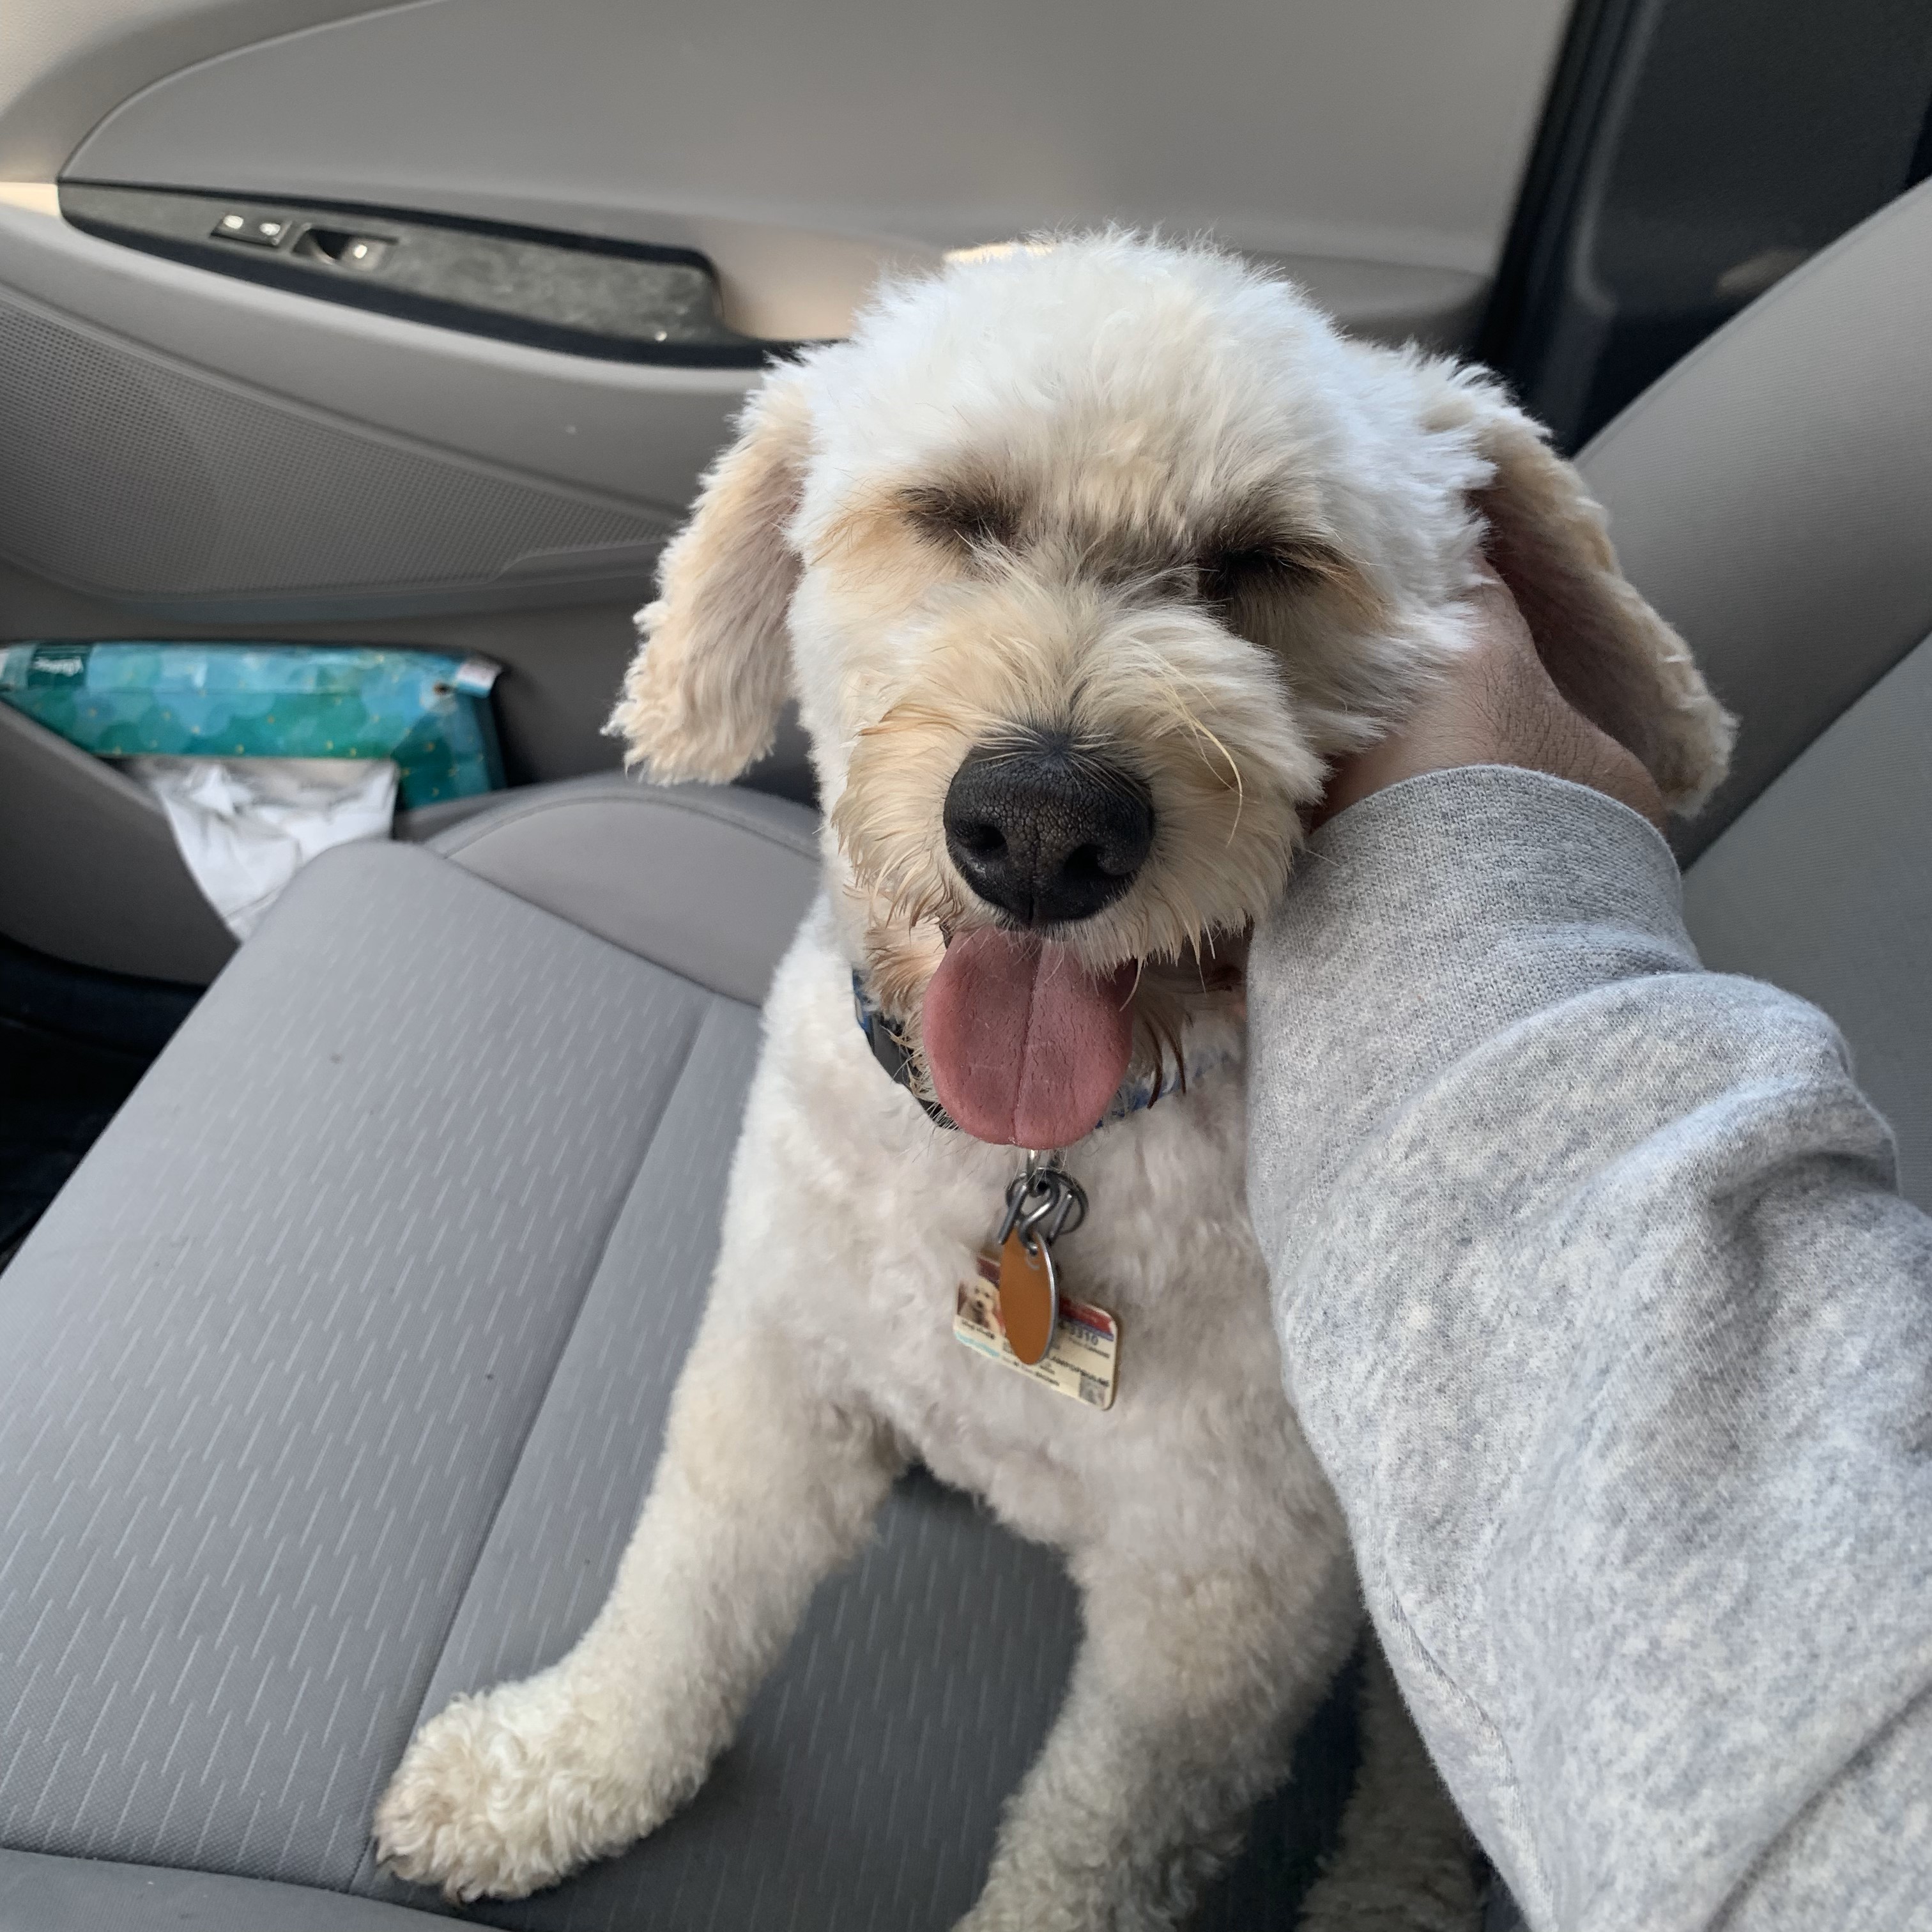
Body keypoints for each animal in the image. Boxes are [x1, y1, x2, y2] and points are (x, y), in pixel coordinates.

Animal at [369, 233, 1731, 1924]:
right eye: (954, 516)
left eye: (1263, 560)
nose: (1041, 829)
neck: (1033, 1158)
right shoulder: (776, 1361)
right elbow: (685, 1596)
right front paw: (558, 1769)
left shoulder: (1224, 1597)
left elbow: (1098, 1835)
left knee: (1432, 1780)